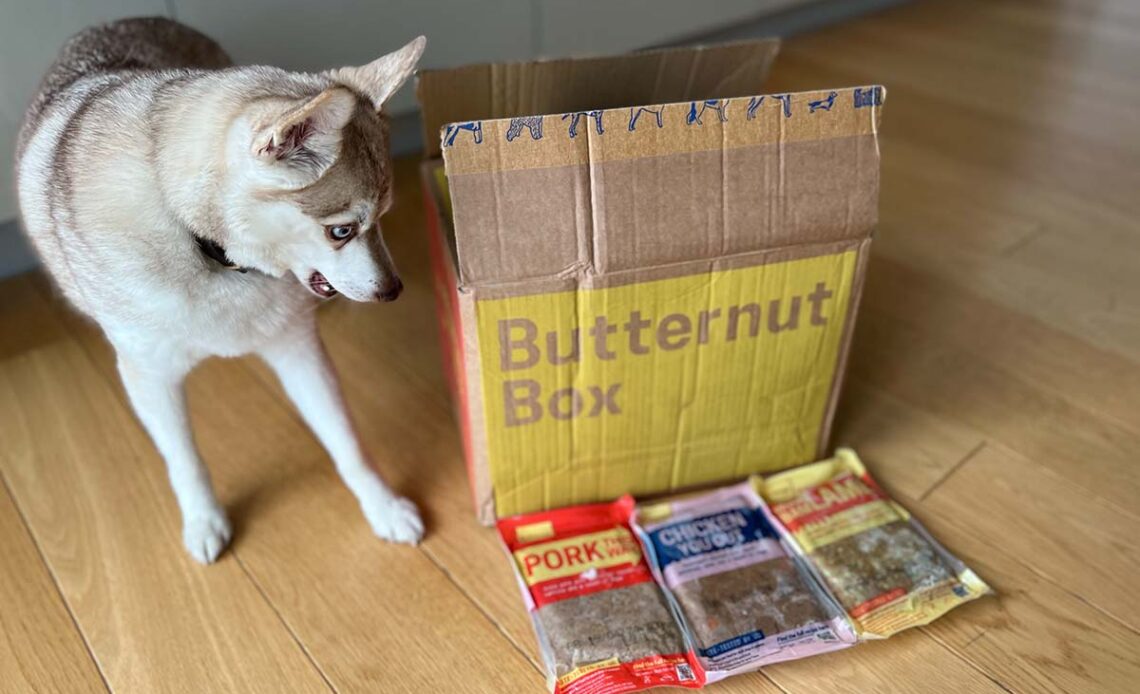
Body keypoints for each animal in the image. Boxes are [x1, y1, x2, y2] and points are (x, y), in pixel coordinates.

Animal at [16, 17, 428, 562]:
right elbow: (184, 459)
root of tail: (139, 18)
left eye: (383, 217)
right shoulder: (149, 377)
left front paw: (382, 505)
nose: (394, 289)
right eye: (340, 231)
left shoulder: (298, 350)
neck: (207, 248)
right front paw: (203, 518)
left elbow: (345, 440)